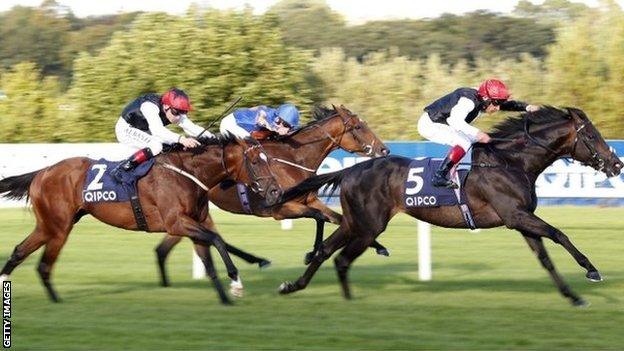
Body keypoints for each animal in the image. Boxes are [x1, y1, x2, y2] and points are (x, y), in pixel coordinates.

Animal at [0, 135, 282, 306]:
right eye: (255, 161)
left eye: (268, 159)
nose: (275, 192)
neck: (189, 173)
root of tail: (42, 172)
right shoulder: (176, 222)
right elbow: (217, 240)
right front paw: (236, 282)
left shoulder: (194, 221)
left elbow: (210, 257)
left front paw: (226, 297)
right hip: (59, 227)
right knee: (43, 265)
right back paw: (56, 300)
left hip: (48, 225)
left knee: (20, 251)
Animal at [155, 105, 390, 288]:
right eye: (358, 127)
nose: (384, 150)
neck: (294, 158)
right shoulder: (279, 209)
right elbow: (319, 217)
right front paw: (311, 254)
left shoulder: (310, 200)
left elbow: (336, 218)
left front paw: (379, 246)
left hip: (189, 211)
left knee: (168, 247)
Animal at [278, 108, 624, 308]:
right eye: (592, 136)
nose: (617, 164)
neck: (511, 161)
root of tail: (351, 170)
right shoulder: (516, 216)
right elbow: (560, 234)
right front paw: (591, 270)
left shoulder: (522, 220)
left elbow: (546, 259)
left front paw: (573, 297)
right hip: (369, 226)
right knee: (342, 259)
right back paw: (348, 303)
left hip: (355, 222)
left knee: (326, 252)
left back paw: (294, 286)